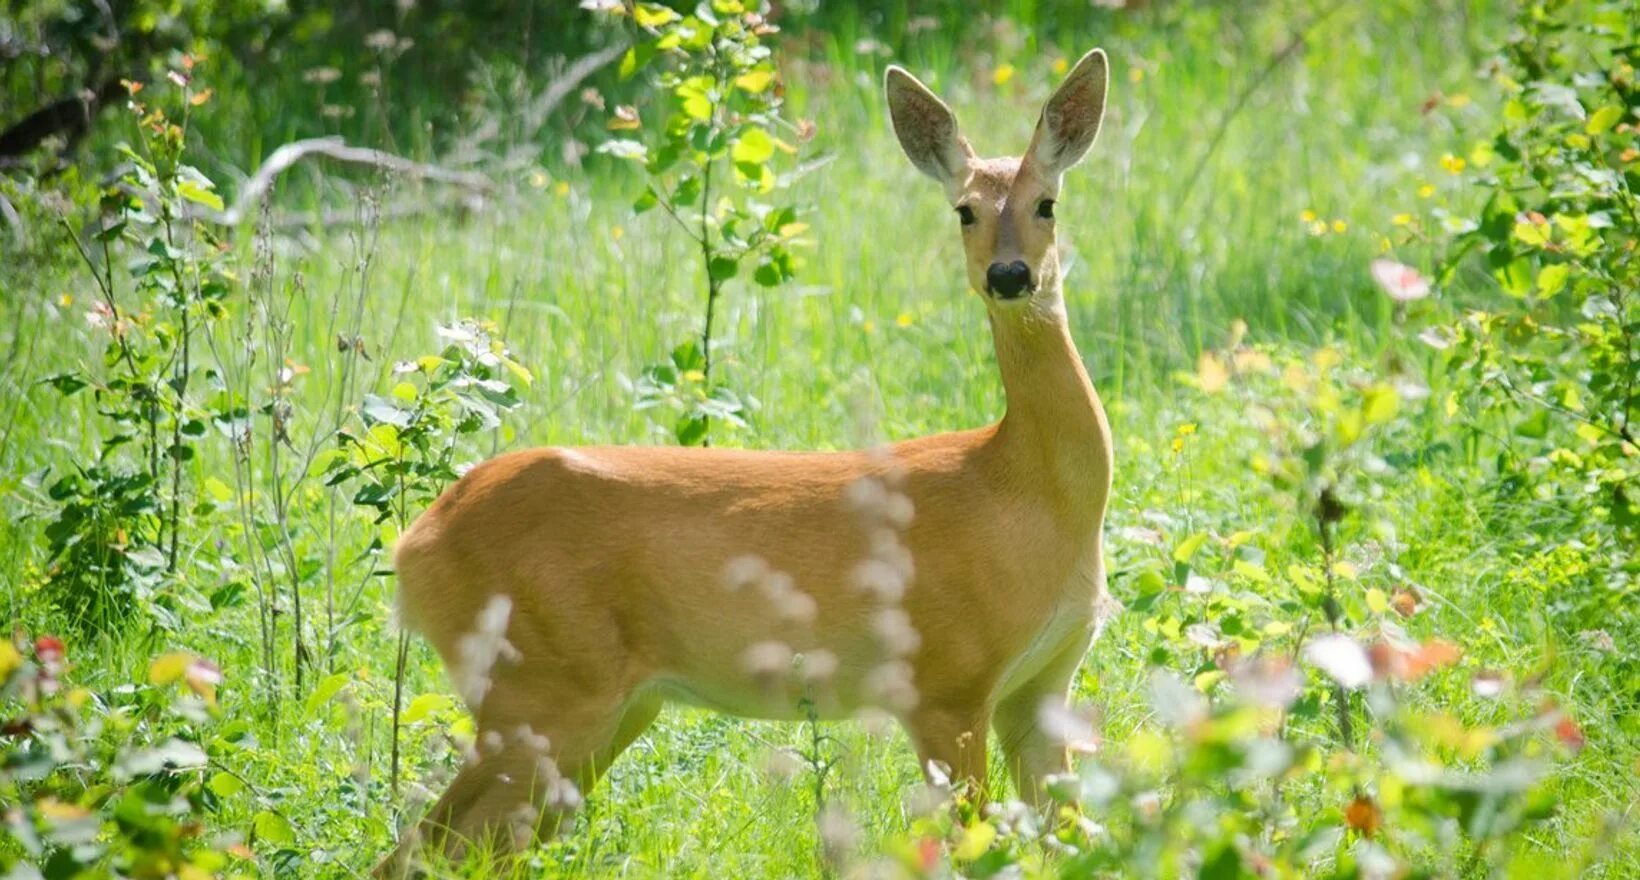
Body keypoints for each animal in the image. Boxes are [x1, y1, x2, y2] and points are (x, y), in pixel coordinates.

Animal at [382, 47, 1121, 871]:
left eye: (1048, 203)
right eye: (963, 210)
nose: (1010, 276)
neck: (1023, 491)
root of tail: (416, 545)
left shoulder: (1042, 689)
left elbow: (1077, 840)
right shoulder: (944, 677)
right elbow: (976, 848)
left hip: (601, 707)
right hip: (542, 685)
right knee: (421, 847)